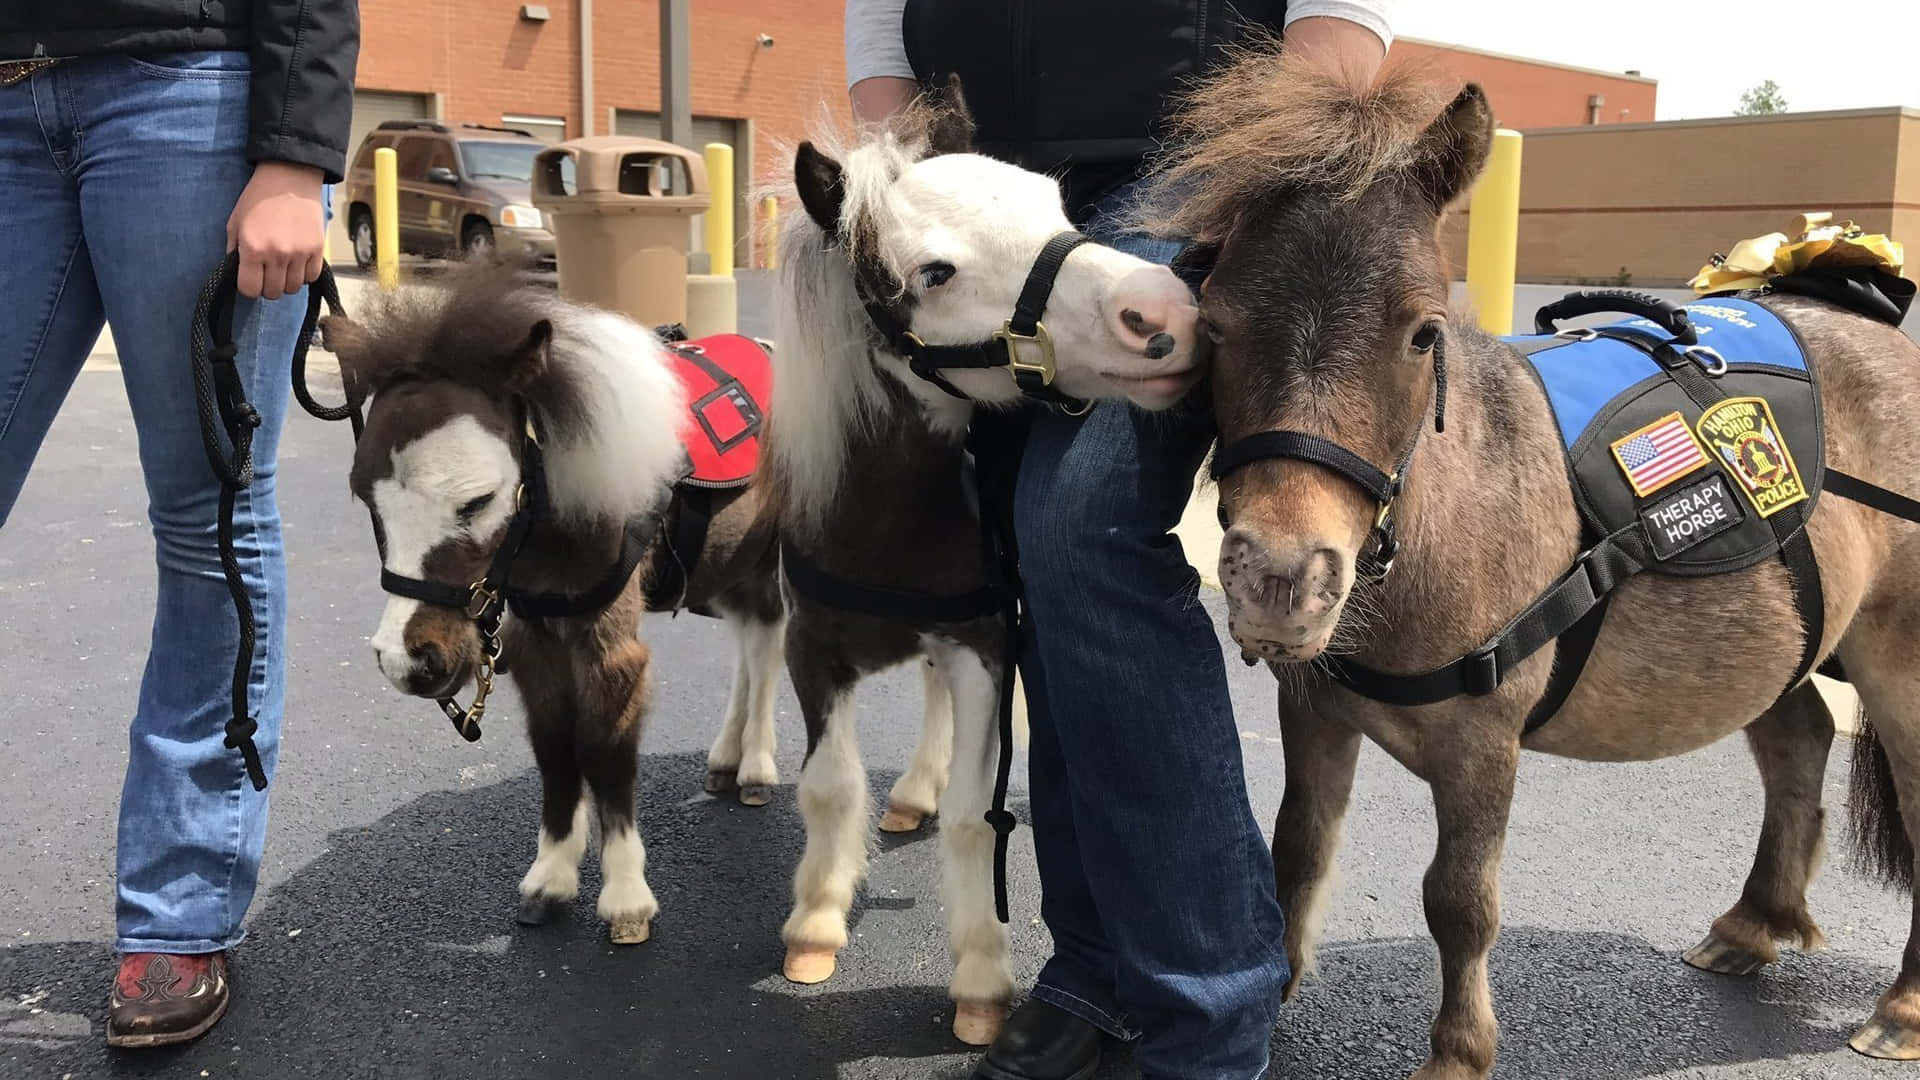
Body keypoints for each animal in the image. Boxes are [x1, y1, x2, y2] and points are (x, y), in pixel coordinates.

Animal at [1150, 49, 1920, 1078]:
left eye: (1423, 333)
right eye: (1217, 327)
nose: (1281, 580)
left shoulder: (1485, 746)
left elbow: (1458, 902)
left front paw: (1457, 1054)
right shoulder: (1312, 710)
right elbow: (1297, 850)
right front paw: (1269, 1002)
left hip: (1898, 661)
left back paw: (1903, 1006)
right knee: (1795, 738)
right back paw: (1753, 925)